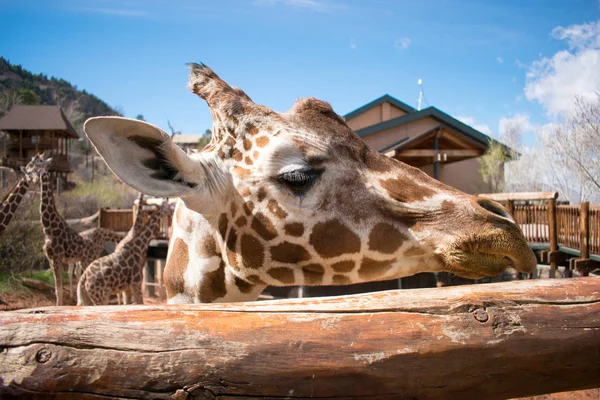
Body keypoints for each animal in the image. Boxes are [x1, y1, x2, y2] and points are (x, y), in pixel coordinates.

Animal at [38, 167, 123, 304]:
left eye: (33, 169)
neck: (48, 229)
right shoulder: (51, 260)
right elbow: (58, 288)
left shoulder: (56, 258)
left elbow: (59, 289)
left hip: (87, 258)